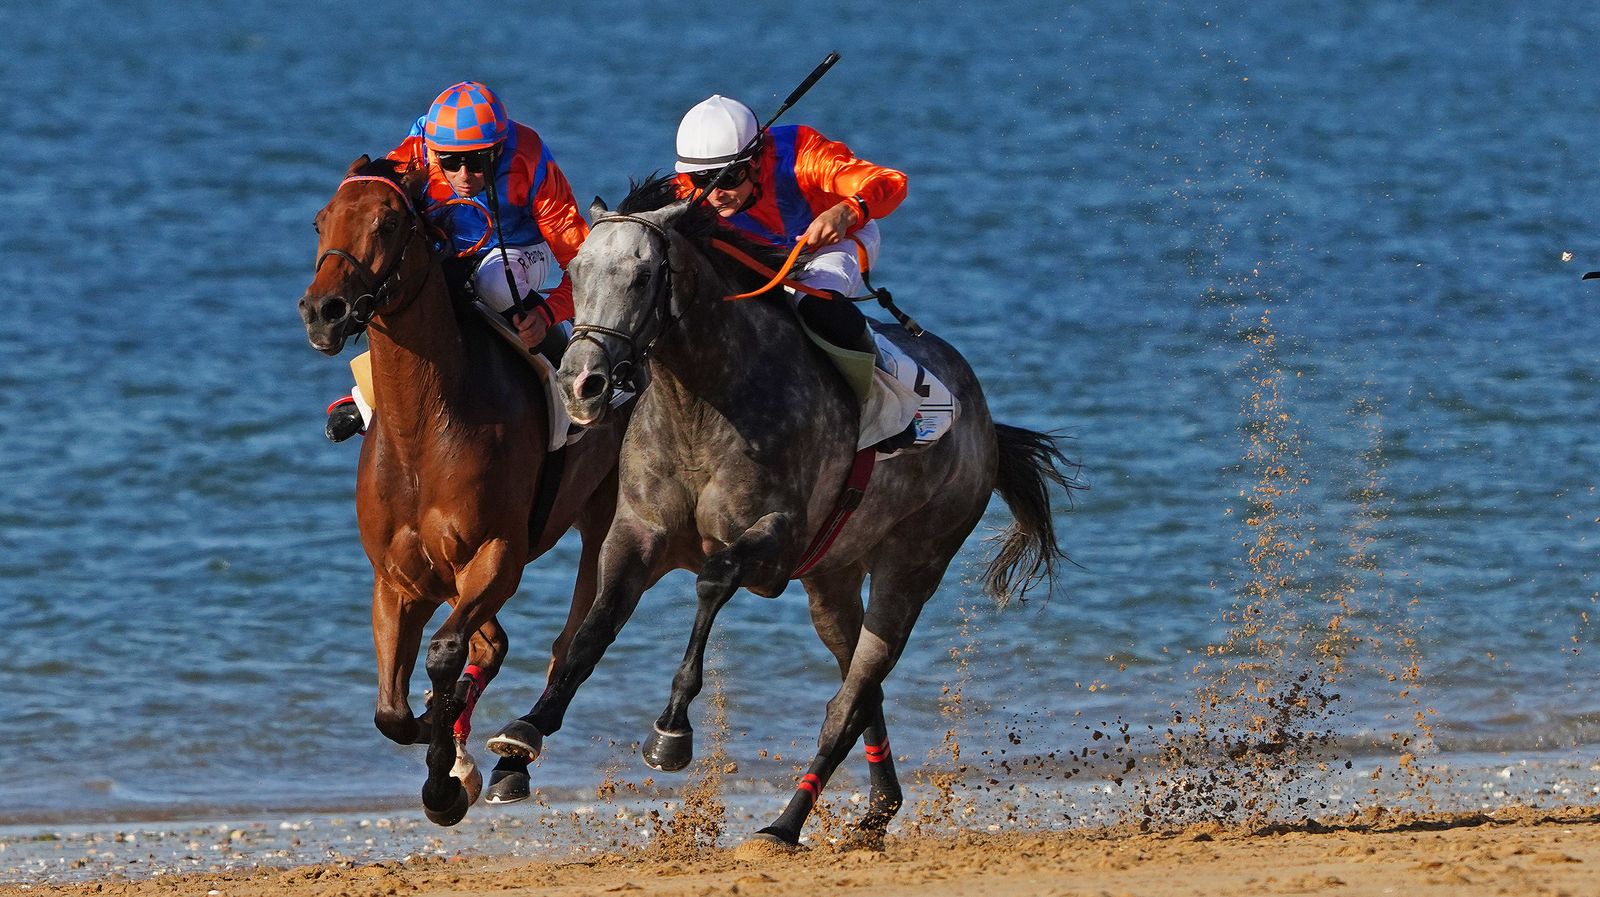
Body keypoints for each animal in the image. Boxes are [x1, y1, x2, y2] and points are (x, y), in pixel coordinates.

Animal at [296, 156, 626, 826]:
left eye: (388, 223)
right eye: (321, 220)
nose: (324, 311)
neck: (423, 430)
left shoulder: (496, 553)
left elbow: (448, 654)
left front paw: (444, 774)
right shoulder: (400, 578)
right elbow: (392, 711)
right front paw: (438, 739)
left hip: (603, 519)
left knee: (568, 638)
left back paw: (511, 753)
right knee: (494, 643)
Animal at [484, 176, 1081, 845]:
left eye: (641, 278)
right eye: (577, 271)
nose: (580, 383)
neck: (701, 403)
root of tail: (982, 419)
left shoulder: (774, 543)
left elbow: (714, 580)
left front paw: (671, 731)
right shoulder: (638, 533)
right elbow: (592, 631)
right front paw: (520, 741)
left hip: (914, 563)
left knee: (850, 699)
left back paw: (785, 824)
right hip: (833, 580)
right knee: (861, 692)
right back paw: (875, 809)